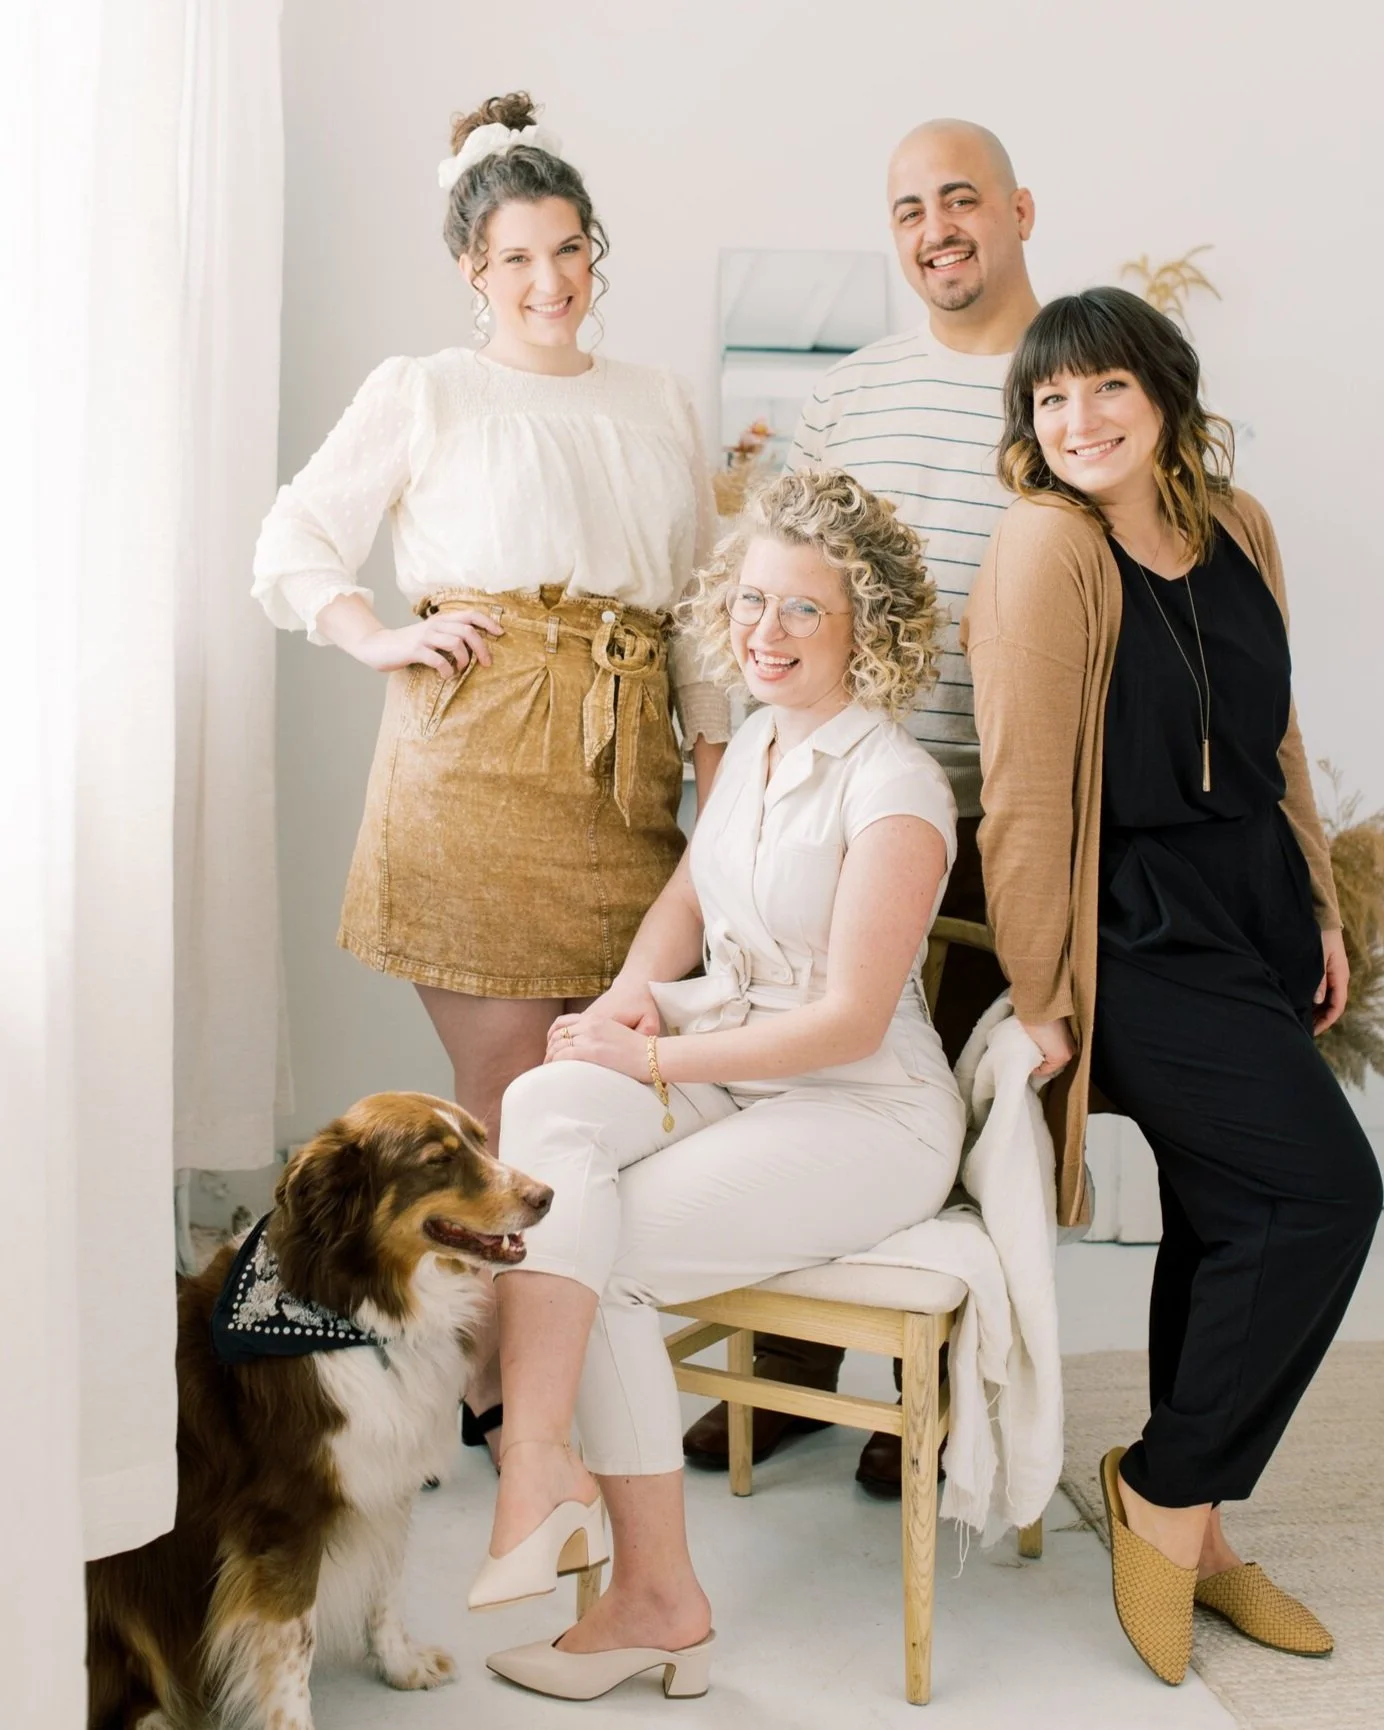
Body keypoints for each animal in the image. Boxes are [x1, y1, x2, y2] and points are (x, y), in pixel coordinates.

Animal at [86, 1091, 552, 1730]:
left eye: (483, 1141)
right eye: (437, 1161)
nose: (546, 1196)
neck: (360, 1313)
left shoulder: (384, 1478)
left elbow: (385, 1586)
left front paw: (400, 1665)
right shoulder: (284, 1518)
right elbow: (292, 1650)